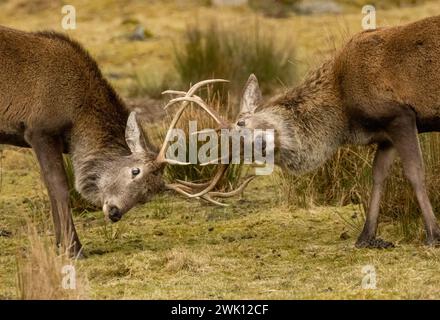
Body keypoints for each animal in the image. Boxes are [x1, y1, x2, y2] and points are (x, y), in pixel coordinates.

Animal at [0, 25, 248, 258]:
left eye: (147, 196)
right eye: (135, 171)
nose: (115, 212)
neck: (77, 117)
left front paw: (61, 246)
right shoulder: (39, 129)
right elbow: (59, 188)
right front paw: (74, 249)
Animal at [183, 15, 440, 248]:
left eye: (241, 123)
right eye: (243, 154)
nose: (261, 143)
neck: (345, 115)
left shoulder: (400, 115)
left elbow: (414, 172)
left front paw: (433, 235)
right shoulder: (385, 135)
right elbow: (378, 175)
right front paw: (366, 237)